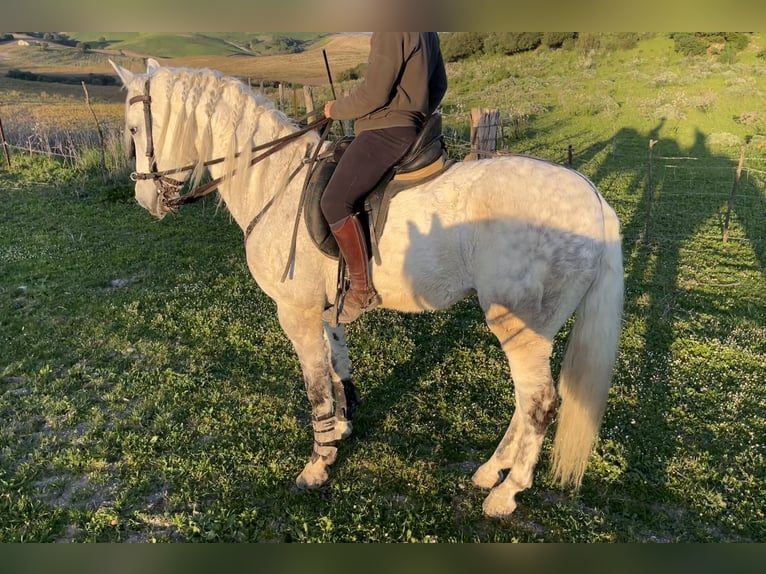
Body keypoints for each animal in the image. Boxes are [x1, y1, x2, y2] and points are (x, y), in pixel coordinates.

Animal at [110, 58, 624, 518]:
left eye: (134, 129)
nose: (145, 199)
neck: (275, 181)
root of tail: (593, 198)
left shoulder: (294, 312)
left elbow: (316, 386)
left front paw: (318, 465)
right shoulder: (322, 310)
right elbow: (337, 364)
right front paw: (341, 427)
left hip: (519, 326)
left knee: (538, 403)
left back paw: (506, 493)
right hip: (533, 330)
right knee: (525, 402)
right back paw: (489, 471)